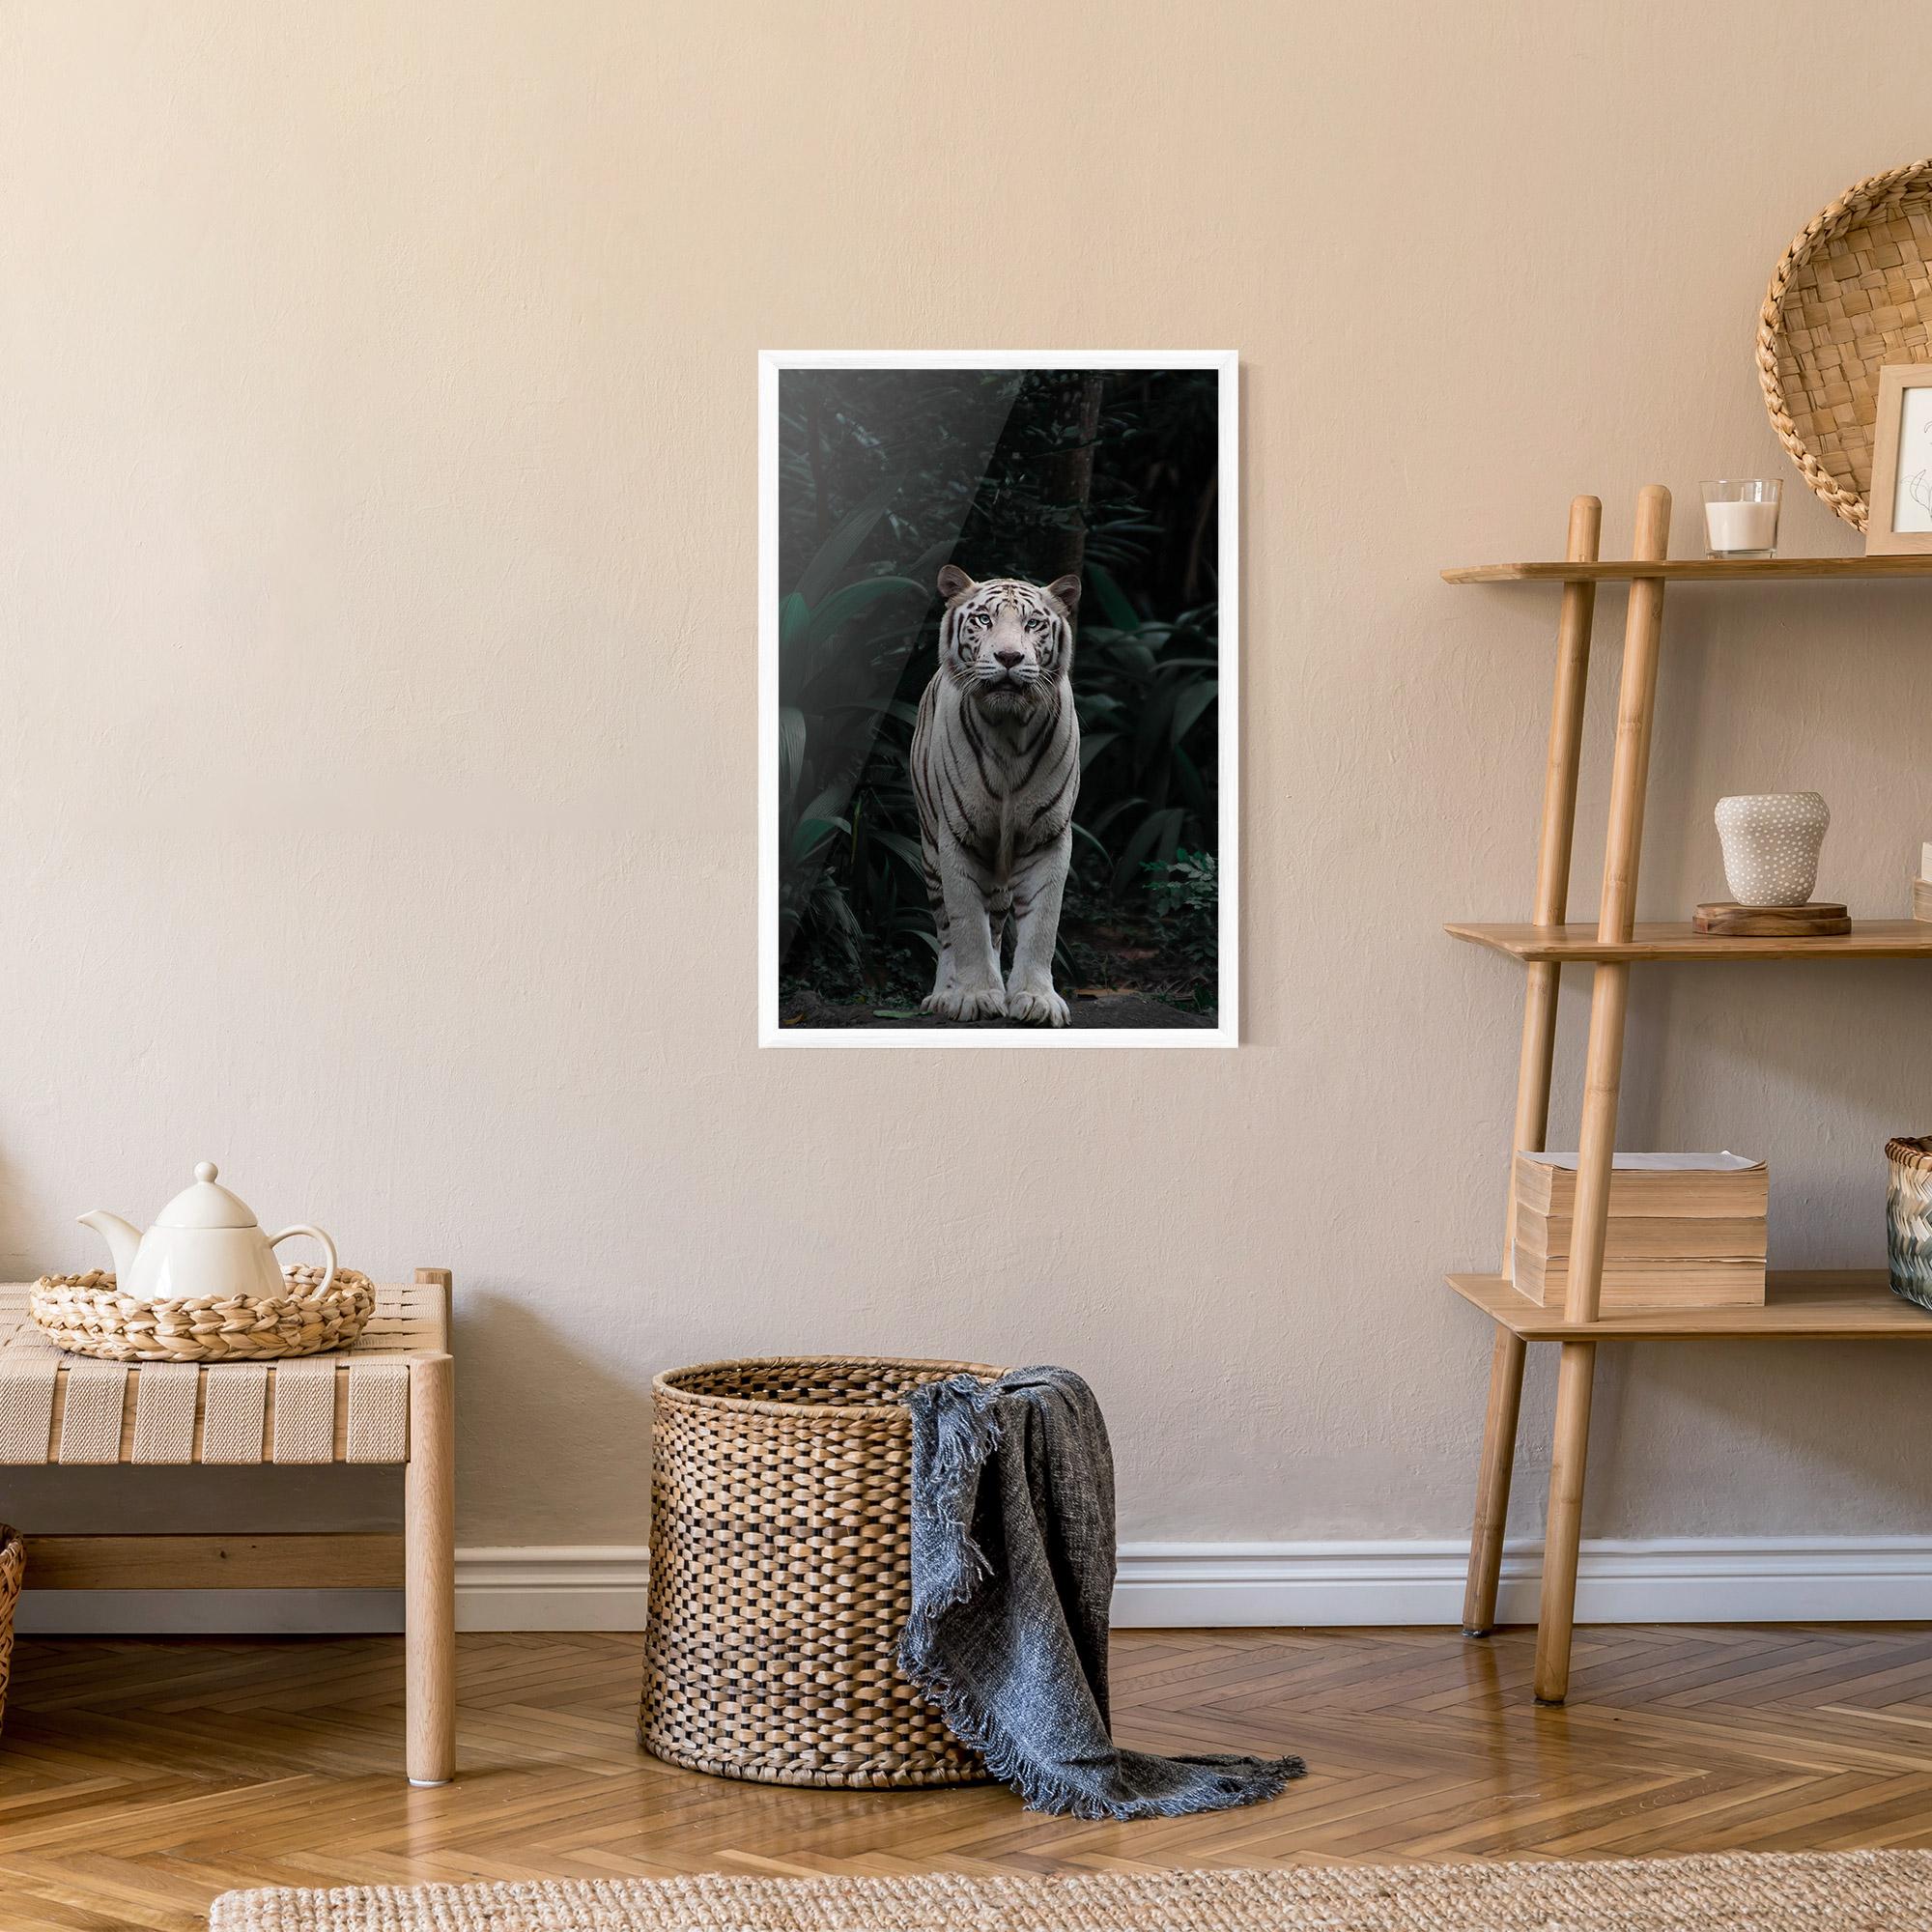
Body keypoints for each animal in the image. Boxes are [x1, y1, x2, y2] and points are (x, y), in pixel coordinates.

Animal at [910, 564, 1082, 1026]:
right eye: (984, 619)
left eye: (1033, 623)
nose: (1008, 658)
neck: (1009, 730)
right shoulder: (957, 836)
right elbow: (967, 925)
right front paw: (974, 995)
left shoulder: (1048, 836)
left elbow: (1042, 924)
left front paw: (1036, 999)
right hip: (930, 850)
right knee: (947, 930)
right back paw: (944, 995)